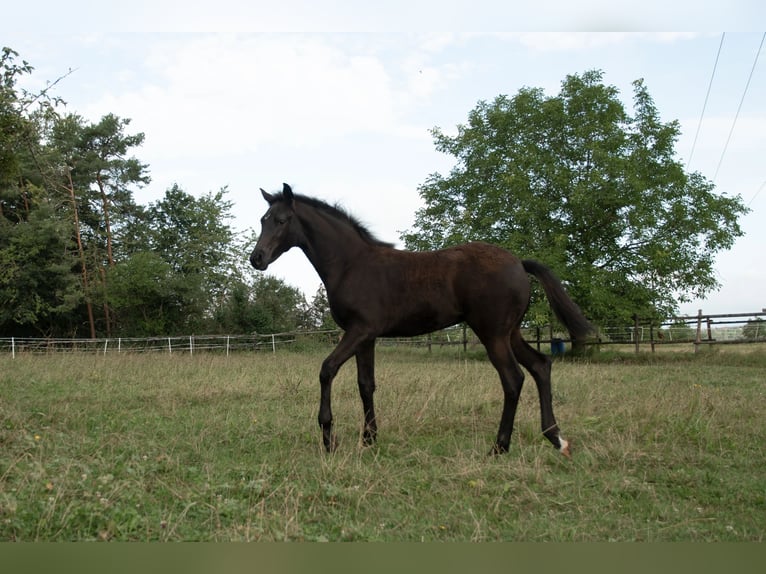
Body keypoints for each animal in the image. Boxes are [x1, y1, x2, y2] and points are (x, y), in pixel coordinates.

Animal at [252, 184, 592, 460]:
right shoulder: (366, 335)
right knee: (540, 366)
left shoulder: (359, 330)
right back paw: (556, 439)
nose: (257, 259)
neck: (352, 264)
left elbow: (327, 370)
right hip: (511, 332)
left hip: (492, 333)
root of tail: (519, 263)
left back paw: (499, 447)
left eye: (282, 220)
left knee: (513, 378)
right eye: (262, 220)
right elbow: (366, 384)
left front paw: (328, 439)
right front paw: (369, 439)